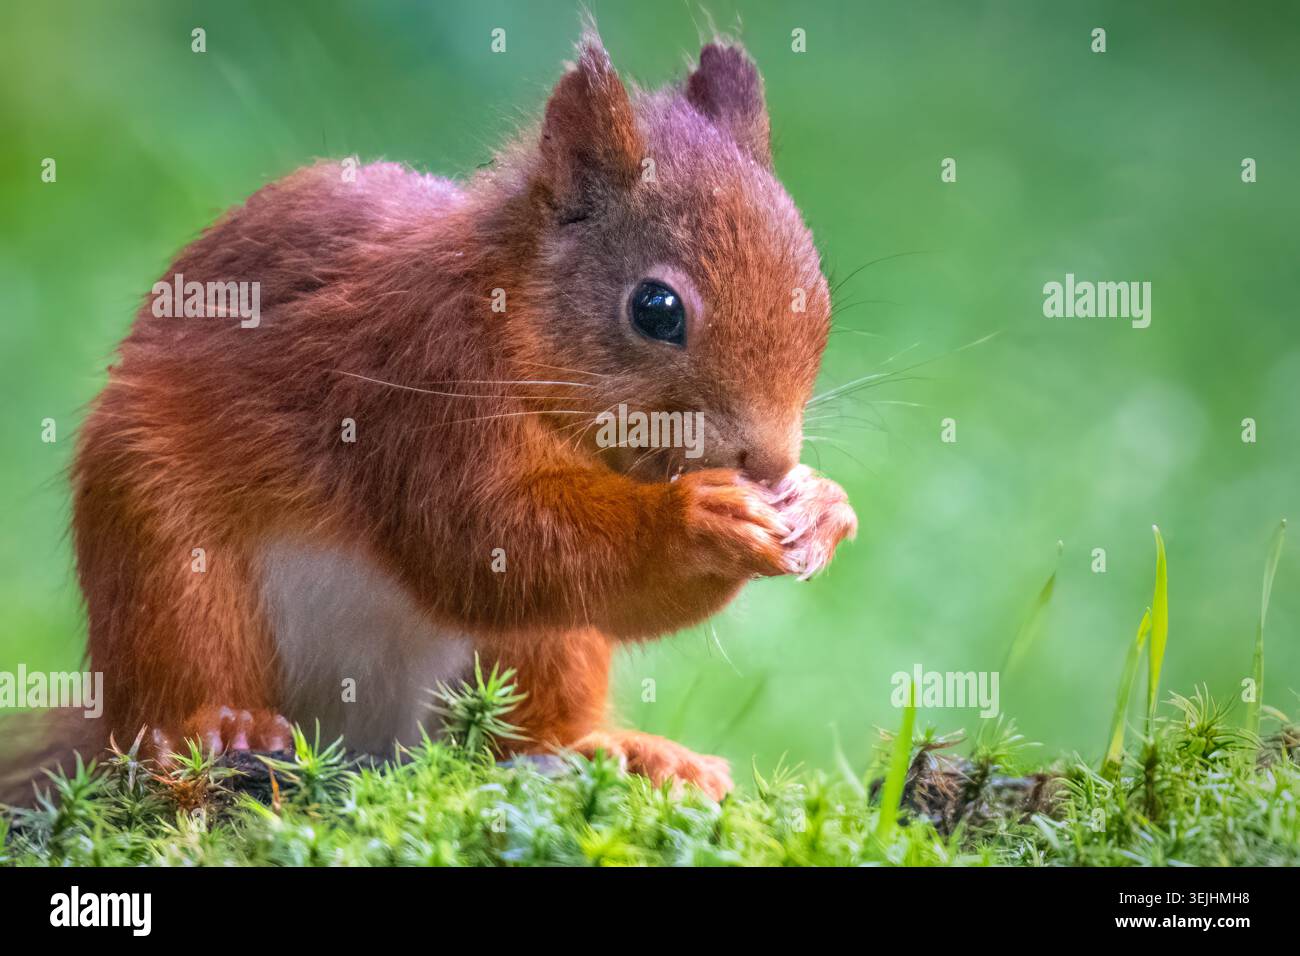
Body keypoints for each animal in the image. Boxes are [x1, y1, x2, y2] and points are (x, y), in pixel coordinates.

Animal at [19, 31, 856, 802]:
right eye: (656, 309)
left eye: (818, 287)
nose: (772, 462)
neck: (510, 320)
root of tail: (362, 734)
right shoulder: (415, 380)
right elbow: (477, 539)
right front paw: (697, 517)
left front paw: (823, 509)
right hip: (164, 560)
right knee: (170, 680)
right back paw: (215, 728)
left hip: (543, 652)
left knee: (528, 723)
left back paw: (617, 749)